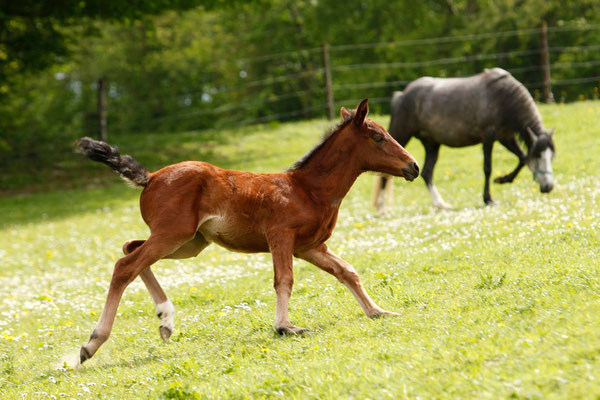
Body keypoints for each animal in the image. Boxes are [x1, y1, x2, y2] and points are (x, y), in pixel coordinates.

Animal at [77, 99, 420, 362]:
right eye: (378, 137)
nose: (414, 166)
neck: (309, 189)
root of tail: (149, 178)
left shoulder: (310, 246)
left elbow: (347, 271)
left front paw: (378, 311)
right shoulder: (281, 236)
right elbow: (284, 280)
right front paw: (286, 327)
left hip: (189, 243)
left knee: (131, 248)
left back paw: (165, 321)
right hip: (173, 235)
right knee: (126, 265)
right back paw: (92, 343)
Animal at [376, 67, 556, 211]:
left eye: (552, 156)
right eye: (539, 156)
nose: (548, 187)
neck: (502, 98)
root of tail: (401, 95)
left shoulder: (506, 137)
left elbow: (523, 159)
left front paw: (503, 180)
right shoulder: (489, 137)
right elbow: (488, 168)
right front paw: (488, 199)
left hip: (432, 143)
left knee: (427, 173)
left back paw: (440, 204)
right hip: (401, 135)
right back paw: (382, 207)